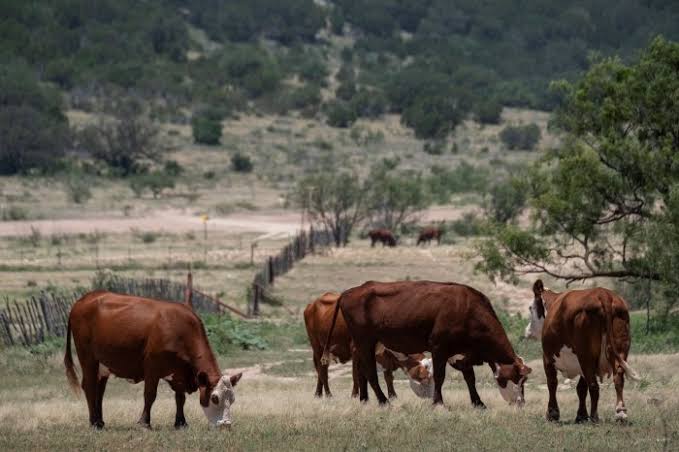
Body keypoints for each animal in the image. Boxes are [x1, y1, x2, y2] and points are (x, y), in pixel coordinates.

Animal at [64, 290, 243, 429]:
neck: (181, 330)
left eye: (233, 399)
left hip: (104, 364)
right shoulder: (152, 367)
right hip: (87, 357)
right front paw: (144, 423)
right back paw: (93, 422)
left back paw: (100, 421)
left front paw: (181, 423)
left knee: (99, 390)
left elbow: (180, 398)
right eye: (215, 398)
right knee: (89, 386)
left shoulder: (179, 371)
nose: (226, 425)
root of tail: (83, 300)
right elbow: (150, 395)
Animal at [304, 292, 433, 399]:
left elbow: (387, 377)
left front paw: (392, 396)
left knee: (321, 370)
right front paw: (355, 396)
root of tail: (313, 303)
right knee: (323, 371)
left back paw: (318, 394)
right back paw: (327, 394)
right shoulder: (356, 350)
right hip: (317, 346)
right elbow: (356, 374)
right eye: (423, 377)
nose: (430, 397)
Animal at [322, 281, 531, 407]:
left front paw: (478, 403)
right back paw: (383, 402)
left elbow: (470, 378)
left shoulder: (461, 353)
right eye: (517, 377)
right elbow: (439, 377)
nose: (521, 402)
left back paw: (365, 400)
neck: (468, 309)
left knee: (361, 371)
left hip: (366, 344)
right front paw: (438, 403)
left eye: (525, 381)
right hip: (365, 341)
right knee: (370, 372)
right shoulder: (439, 348)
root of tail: (349, 292)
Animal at [525, 280, 640, 423]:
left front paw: (552, 414)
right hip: (619, 350)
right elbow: (581, 388)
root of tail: (603, 294)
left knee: (594, 385)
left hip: (586, 355)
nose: (527, 330)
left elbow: (552, 383)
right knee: (618, 378)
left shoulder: (547, 357)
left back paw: (595, 416)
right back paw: (620, 413)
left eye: (530, 308)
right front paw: (581, 415)